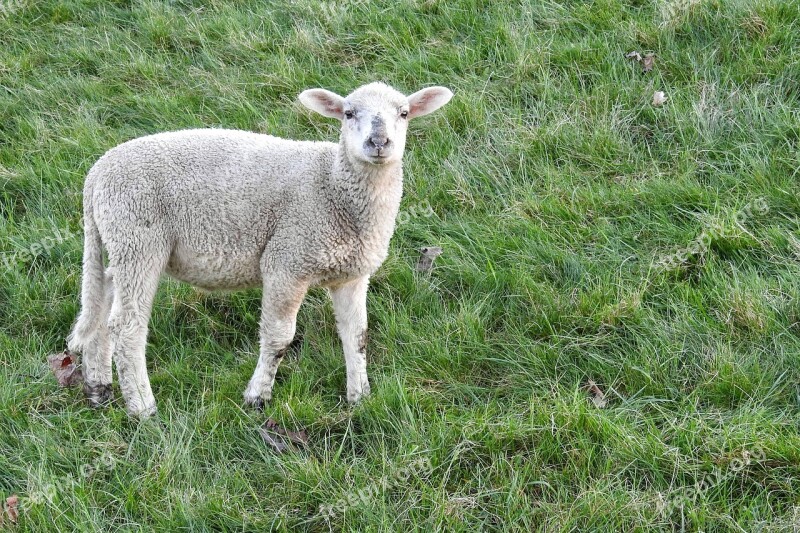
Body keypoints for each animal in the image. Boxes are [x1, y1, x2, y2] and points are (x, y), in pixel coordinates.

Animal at [65, 82, 454, 416]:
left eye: (403, 113)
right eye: (348, 113)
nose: (379, 141)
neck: (334, 187)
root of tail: (97, 173)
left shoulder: (352, 274)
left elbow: (357, 336)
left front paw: (359, 395)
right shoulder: (288, 260)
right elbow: (279, 337)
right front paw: (257, 396)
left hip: (117, 240)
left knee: (101, 303)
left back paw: (99, 388)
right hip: (138, 235)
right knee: (127, 326)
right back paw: (142, 407)